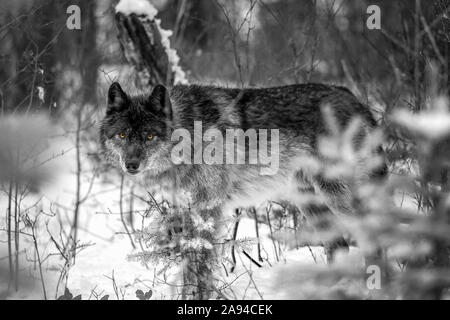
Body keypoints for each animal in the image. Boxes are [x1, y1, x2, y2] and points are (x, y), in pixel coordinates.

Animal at [100, 82, 384, 264]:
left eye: (149, 136)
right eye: (123, 135)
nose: (131, 165)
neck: (189, 134)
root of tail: (354, 98)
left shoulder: (209, 210)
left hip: (336, 197)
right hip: (309, 201)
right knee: (339, 247)